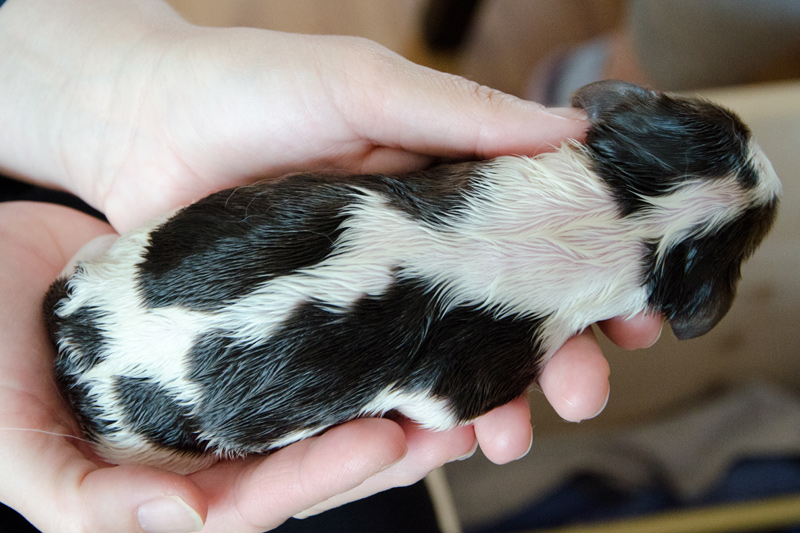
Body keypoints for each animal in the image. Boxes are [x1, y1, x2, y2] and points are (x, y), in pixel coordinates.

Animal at [45, 81, 780, 472]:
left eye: (724, 126)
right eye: (752, 240)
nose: (774, 181)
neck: (624, 217)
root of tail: (74, 343)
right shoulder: (471, 375)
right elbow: (444, 403)